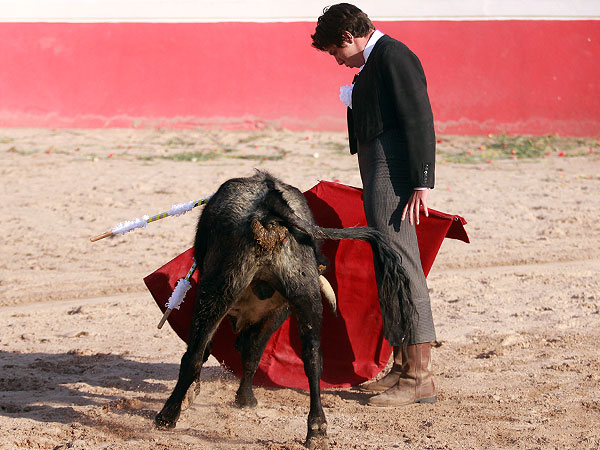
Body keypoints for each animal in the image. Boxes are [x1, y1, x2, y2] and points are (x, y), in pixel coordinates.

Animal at [155, 171, 414, 448]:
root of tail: (270, 202)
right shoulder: (277, 312)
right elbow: (253, 354)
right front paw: (245, 400)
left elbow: (213, 351)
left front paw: (201, 395)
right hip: (305, 294)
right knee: (312, 359)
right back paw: (317, 429)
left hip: (218, 289)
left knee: (193, 354)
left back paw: (167, 416)